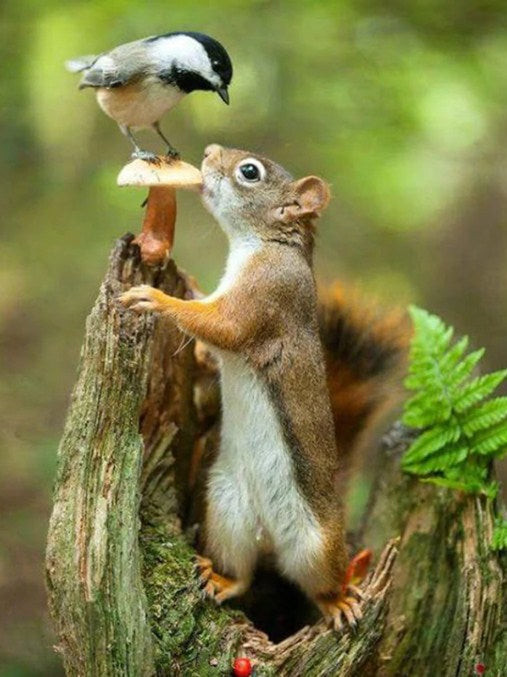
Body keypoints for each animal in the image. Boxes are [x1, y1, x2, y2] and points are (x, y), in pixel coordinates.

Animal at [120, 144, 408, 630]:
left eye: (249, 172)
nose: (209, 152)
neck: (263, 244)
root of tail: (269, 536)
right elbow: (212, 345)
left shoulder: (265, 297)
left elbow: (222, 327)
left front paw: (156, 299)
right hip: (226, 510)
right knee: (244, 573)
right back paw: (221, 579)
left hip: (316, 545)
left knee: (319, 582)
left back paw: (338, 600)